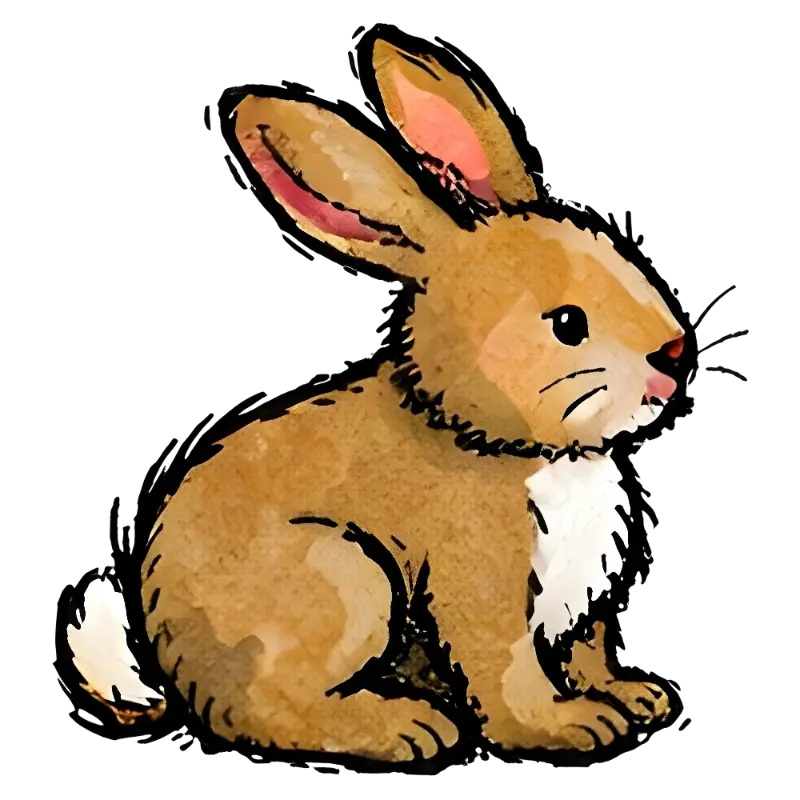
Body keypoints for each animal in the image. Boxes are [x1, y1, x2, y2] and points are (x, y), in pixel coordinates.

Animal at [63, 34, 685, 763]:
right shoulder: (484, 589)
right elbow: (508, 677)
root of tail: (173, 673)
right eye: (567, 324)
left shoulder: (579, 615)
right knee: (270, 713)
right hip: (348, 579)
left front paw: (633, 698)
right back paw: (410, 728)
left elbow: (586, 656)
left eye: (623, 262)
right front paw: (574, 726)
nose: (671, 355)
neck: (493, 439)